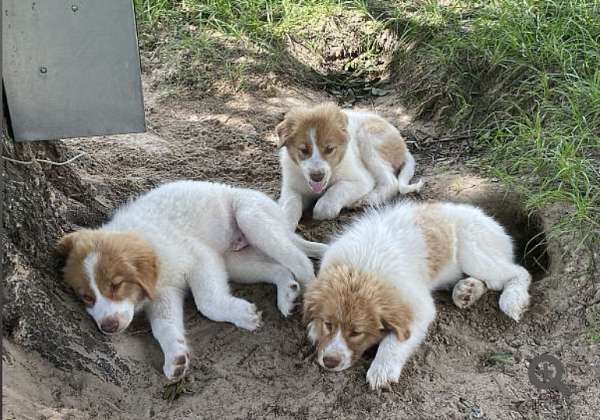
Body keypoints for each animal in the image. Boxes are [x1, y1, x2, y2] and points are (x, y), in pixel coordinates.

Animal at [59, 180, 328, 380]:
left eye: (116, 285)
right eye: (86, 297)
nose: (108, 327)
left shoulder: (200, 256)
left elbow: (206, 302)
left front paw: (243, 315)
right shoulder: (165, 294)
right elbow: (164, 327)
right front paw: (175, 356)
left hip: (251, 218)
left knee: (300, 261)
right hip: (236, 260)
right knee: (279, 269)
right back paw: (287, 294)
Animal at [276, 103, 422, 230]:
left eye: (329, 149)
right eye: (303, 150)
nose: (317, 177)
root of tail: (404, 146)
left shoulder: (362, 180)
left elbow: (337, 189)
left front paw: (325, 207)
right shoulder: (291, 187)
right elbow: (290, 203)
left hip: (368, 139)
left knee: (391, 182)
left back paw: (366, 199)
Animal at [304, 202, 528, 388]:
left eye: (357, 332)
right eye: (328, 324)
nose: (329, 362)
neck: (362, 269)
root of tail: (492, 221)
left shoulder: (419, 307)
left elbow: (395, 340)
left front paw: (382, 368)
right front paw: (314, 329)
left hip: (474, 253)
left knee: (518, 272)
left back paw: (513, 300)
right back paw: (467, 291)